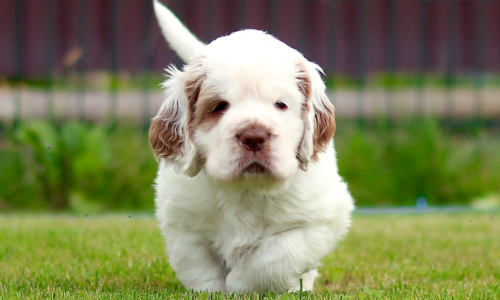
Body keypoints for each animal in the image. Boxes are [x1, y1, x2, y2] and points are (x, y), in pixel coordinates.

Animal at [149, 0, 356, 294]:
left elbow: (275, 257)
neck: (246, 190)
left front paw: (240, 282)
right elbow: (200, 269)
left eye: (280, 104)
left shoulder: (319, 221)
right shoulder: (184, 225)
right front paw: (215, 290)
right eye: (219, 106)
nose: (254, 136)